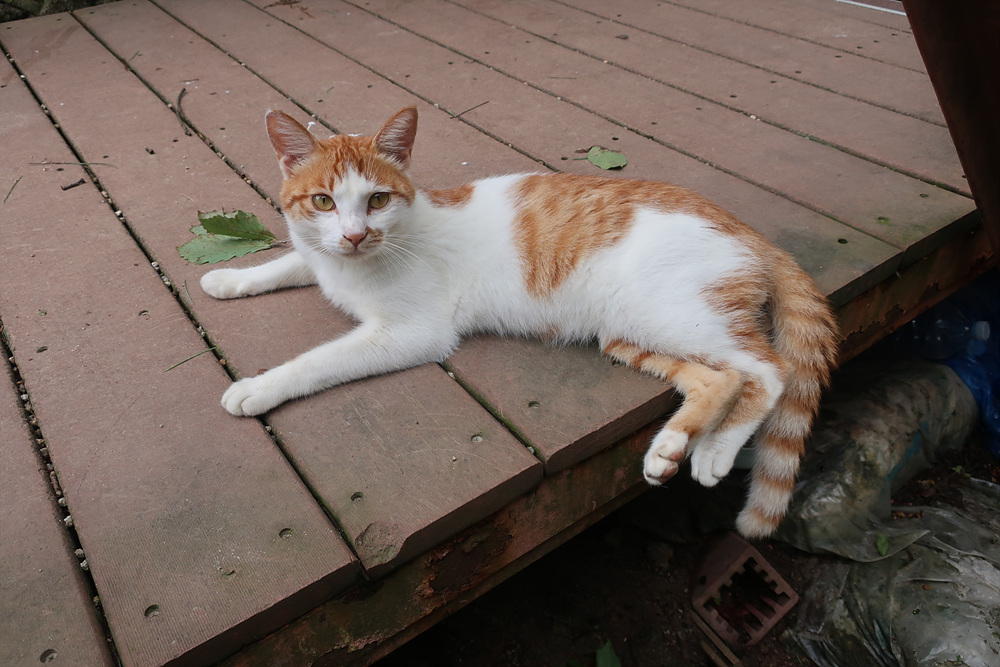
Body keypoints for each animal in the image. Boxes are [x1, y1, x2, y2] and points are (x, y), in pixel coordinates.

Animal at [201, 106, 839, 538]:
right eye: (324, 203)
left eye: (377, 200)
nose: (355, 235)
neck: (358, 264)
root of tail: (748, 231)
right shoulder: (321, 258)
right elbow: (290, 261)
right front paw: (230, 279)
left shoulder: (412, 333)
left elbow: (317, 360)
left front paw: (258, 387)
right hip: (628, 333)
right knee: (722, 377)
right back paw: (679, 448)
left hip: (668, 314)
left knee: (768, 369)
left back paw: (714, 450)